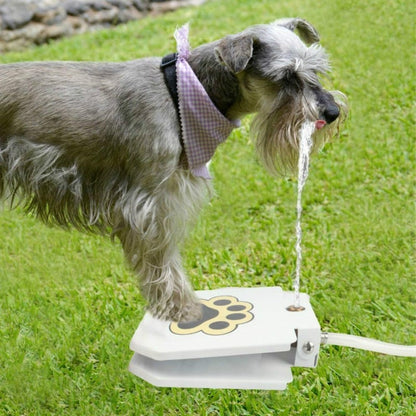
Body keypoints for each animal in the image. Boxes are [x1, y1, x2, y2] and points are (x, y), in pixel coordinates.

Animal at [0, 18, 346, 322]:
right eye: (286, 76)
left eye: (315, 68)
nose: (332, 111)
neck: (181, 94)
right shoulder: (148, 205)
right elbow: (162, 261)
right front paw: (183, 310)